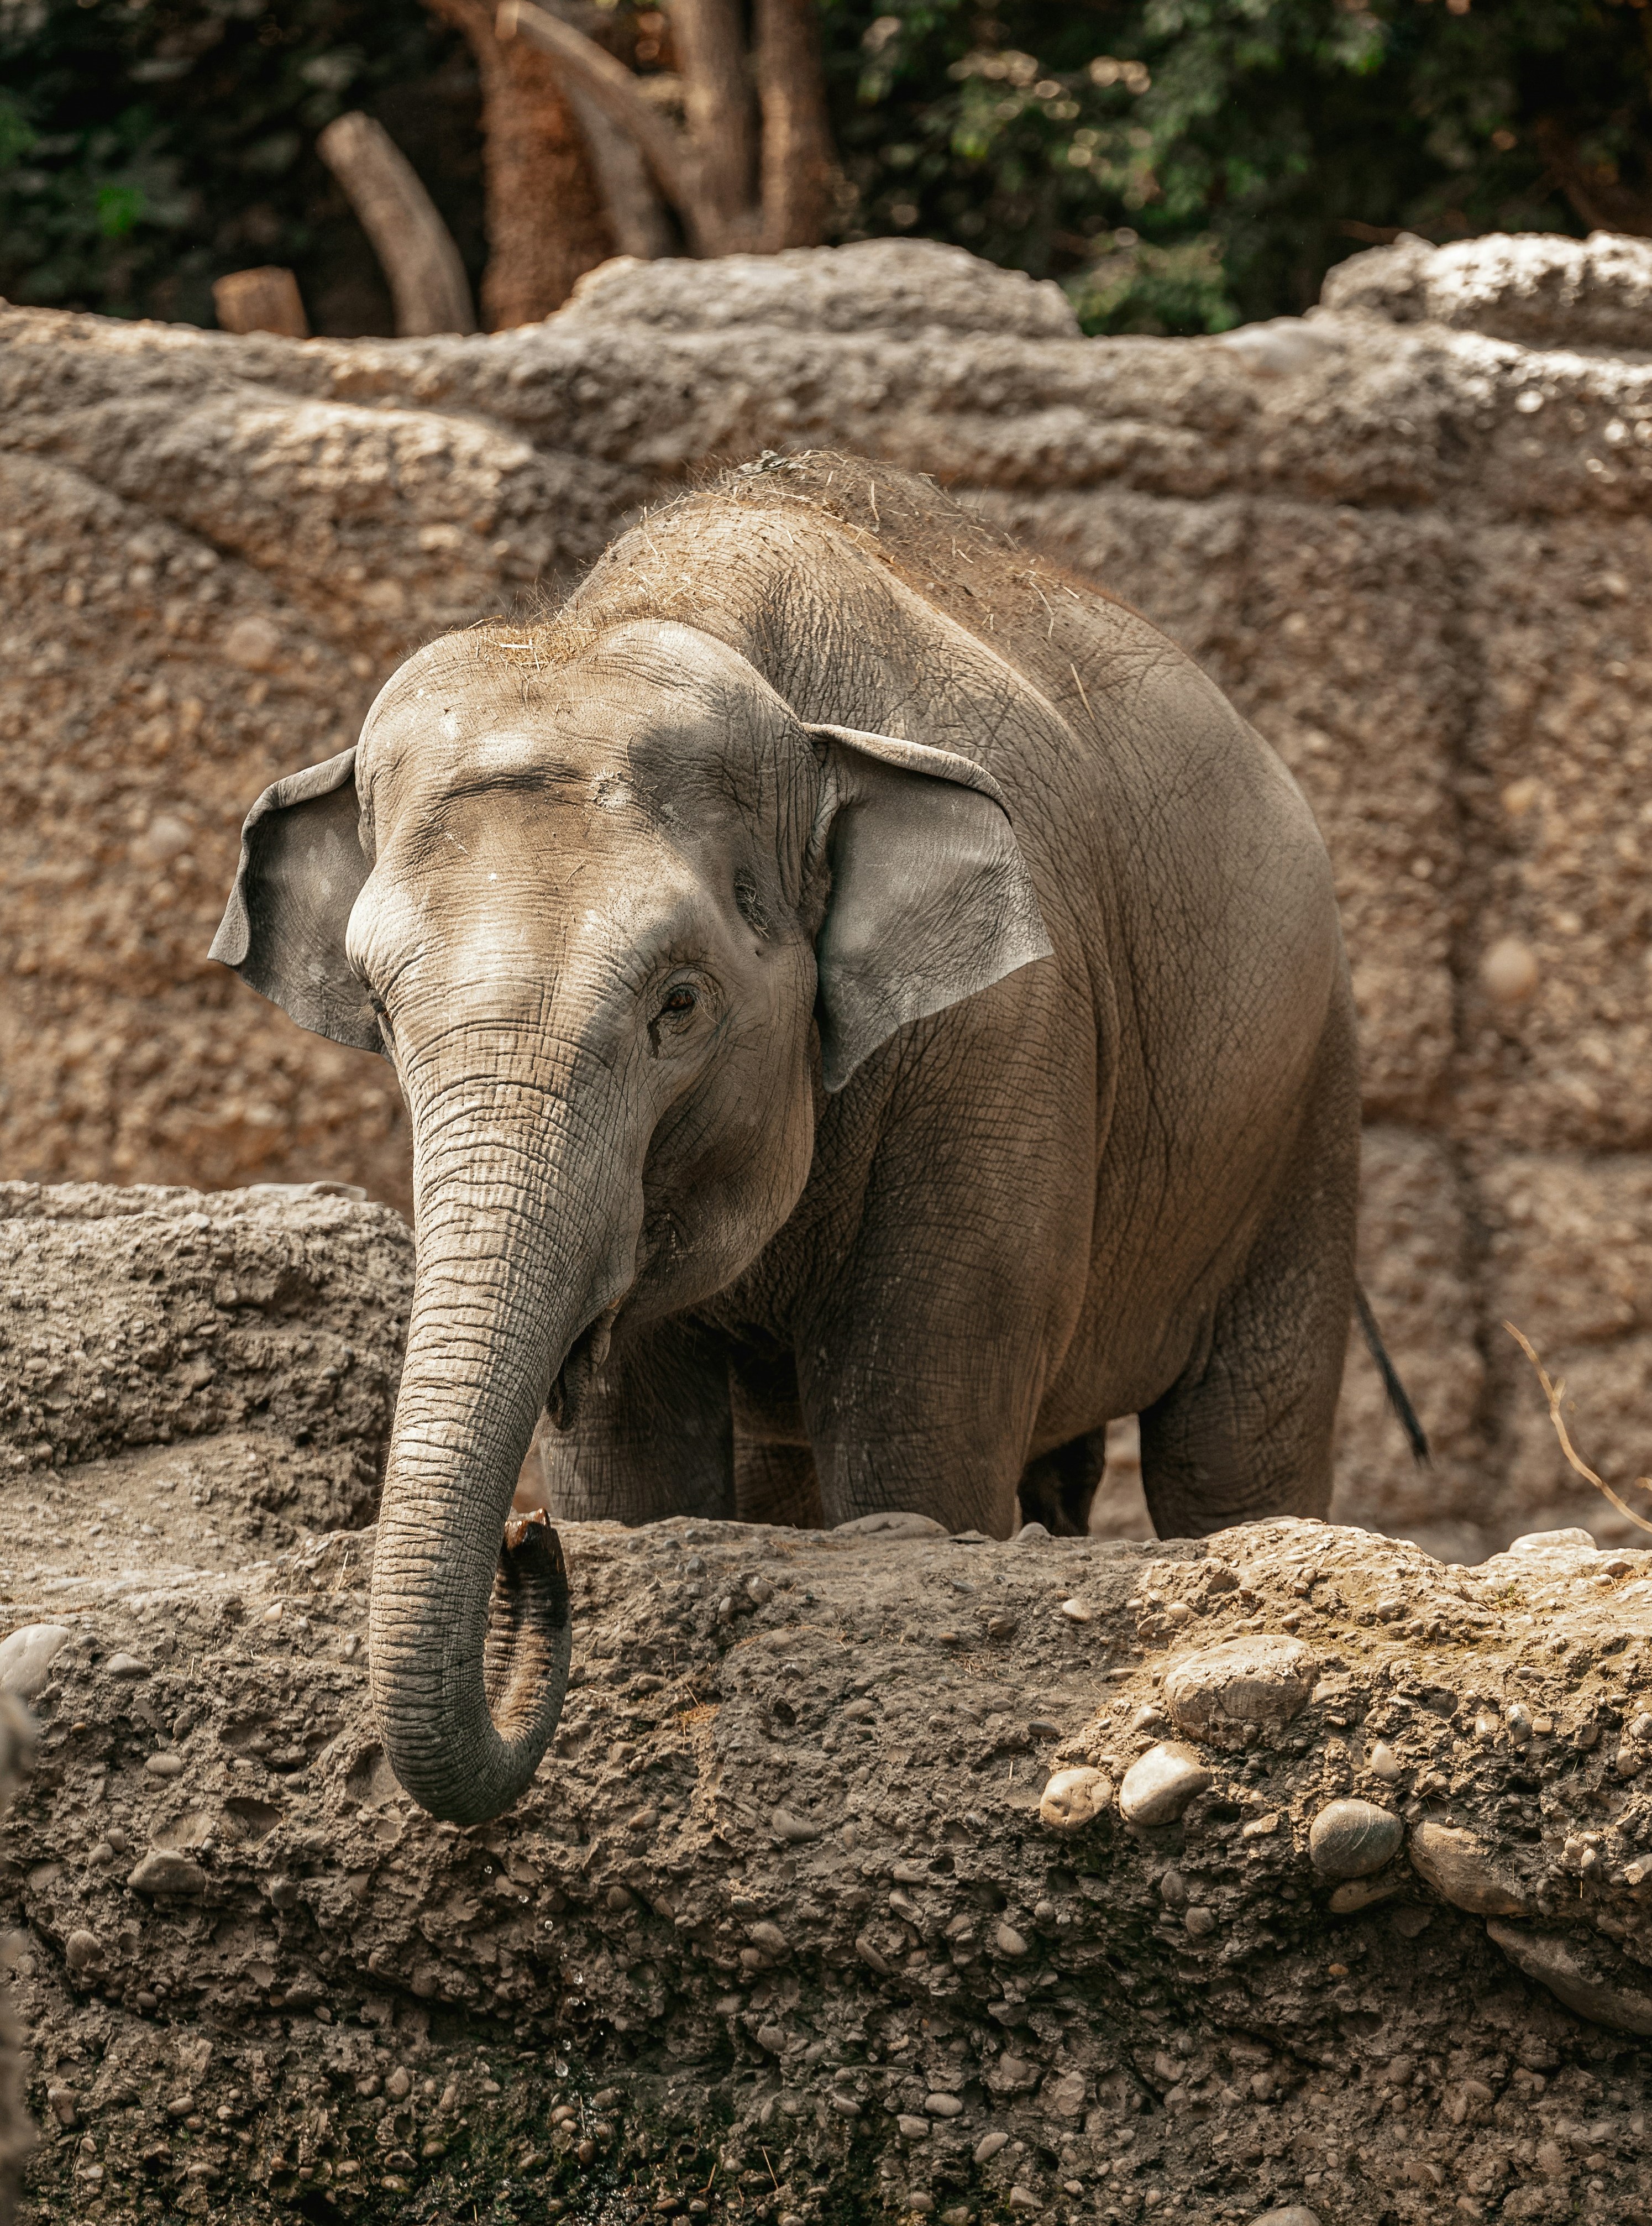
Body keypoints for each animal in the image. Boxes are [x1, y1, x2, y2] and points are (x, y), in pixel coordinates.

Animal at [211, 451, 1375, 1826]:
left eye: (679, 1003)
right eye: (378, 1007)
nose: (526, 1546)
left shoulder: (1006, 1033)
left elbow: (914, 1433)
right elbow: (637, 1466)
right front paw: (612, 1527)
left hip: (1305, 1099)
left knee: (1234, 1451)